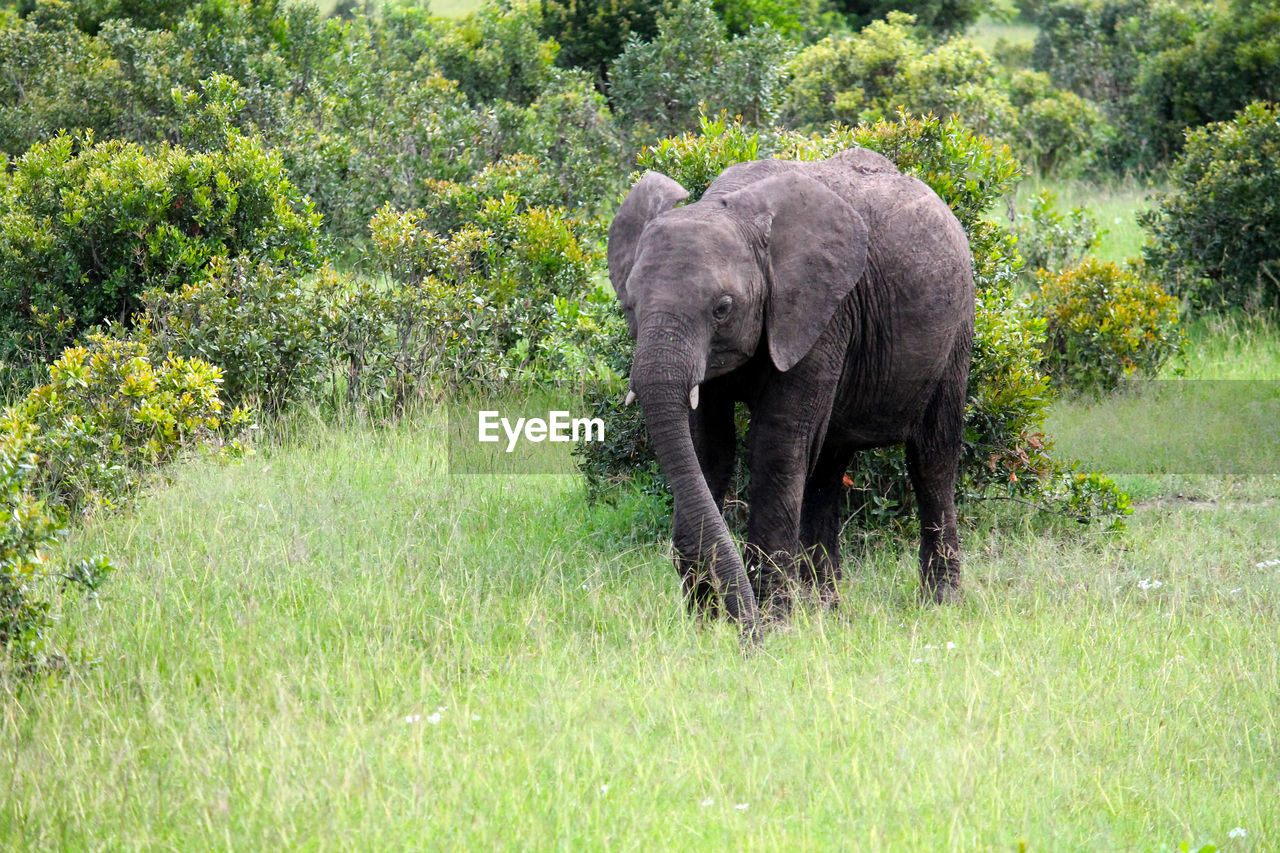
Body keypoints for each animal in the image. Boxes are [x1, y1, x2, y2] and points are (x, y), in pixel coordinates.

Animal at [606, 147, 967, 637]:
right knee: (826, 468)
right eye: (630, 303)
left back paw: (939, 602)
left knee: (932, 459)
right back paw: (826, 610)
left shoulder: (820, 312)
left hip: (956, 330)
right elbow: (708, 447)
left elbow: (776, 444)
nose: (742, 632)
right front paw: (706, 625)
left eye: (722, 309)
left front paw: (773, 626)